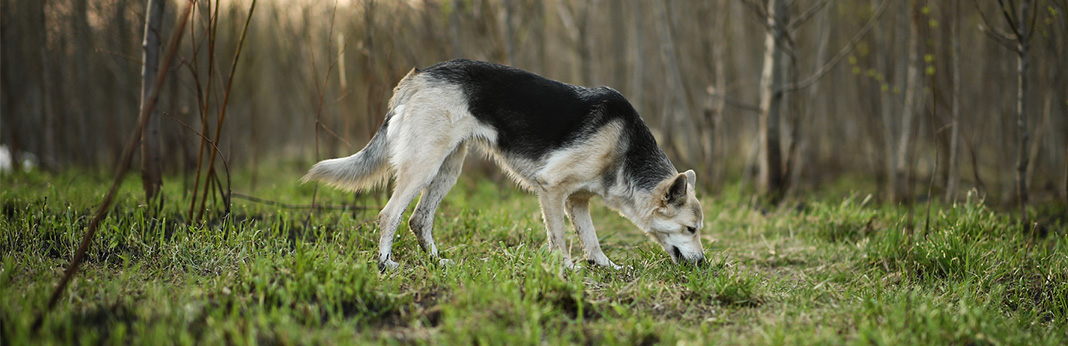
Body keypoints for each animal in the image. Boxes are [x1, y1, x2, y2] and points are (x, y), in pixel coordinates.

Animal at [303, 59, 700, 270]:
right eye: (692, 229)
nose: (703, 264)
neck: (626, 148)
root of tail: (419, 76)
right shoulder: (551, 189)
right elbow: (560, 239)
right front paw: (566, 269)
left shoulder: (577, 201)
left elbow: (591, 240)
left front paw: (604, 267)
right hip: (424, 166)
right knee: (390, 214)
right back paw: (386, 264)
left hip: (448, 170)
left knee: (419, 219)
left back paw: (438, 262)